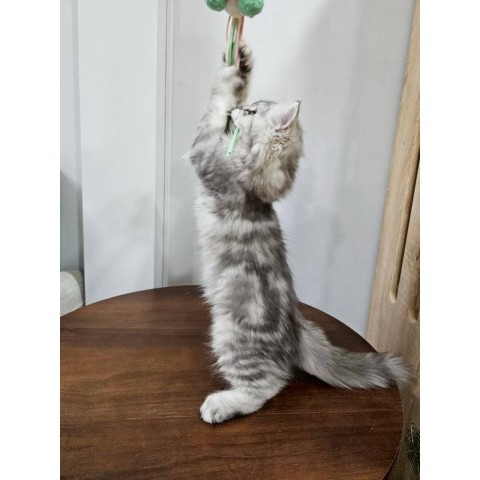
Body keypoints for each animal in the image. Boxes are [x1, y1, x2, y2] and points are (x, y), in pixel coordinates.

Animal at [189, 44, 408, 424]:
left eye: (251, 111)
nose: (239, 110)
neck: (259, 188)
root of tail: (296, 330)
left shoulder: (208, 158)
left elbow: (212, 110)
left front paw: (229, 80)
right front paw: (242, 63)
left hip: (231, 337)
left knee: (268, 386)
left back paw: (222, 404)